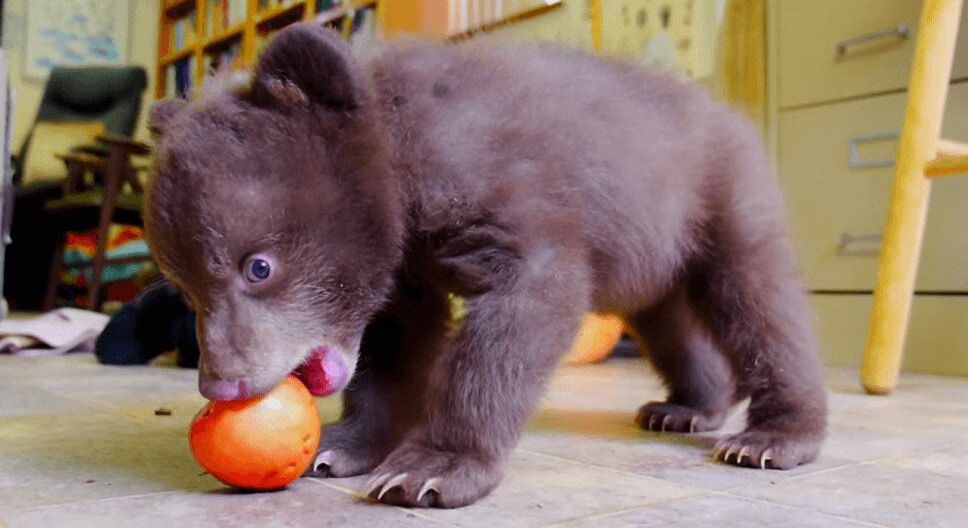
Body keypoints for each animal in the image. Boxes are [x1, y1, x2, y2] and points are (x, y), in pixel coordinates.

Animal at [145, 23, 827, 508]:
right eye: (186, 287)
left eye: (257, 267)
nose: (221, 384)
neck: (403, 169)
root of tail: (728, 110)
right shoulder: (406, 269)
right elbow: (394, 345)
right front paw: (343, 446)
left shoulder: (503, 192)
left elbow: (519, 316)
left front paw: (431, 469)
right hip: (654, 254)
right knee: (670, 323)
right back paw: (689, 406)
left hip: (724, 200)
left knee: (760, 307)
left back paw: (773, 436)